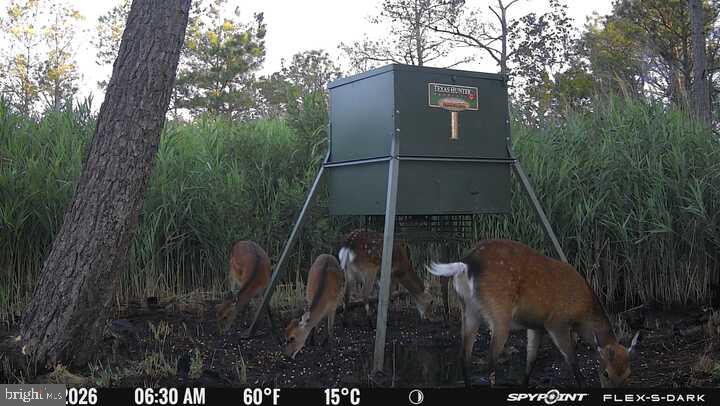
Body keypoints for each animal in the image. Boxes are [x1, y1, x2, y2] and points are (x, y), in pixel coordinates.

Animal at [426, 239, 639, 388]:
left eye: (629, 374)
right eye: (606, 373)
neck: (582, 312)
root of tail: (466, 263)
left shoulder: (536, 325)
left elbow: (531, 359)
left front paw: (524, 385)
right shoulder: (556, 322)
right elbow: (572, 359)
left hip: (469, 309)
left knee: (464, 356)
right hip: (498, 311)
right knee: (490, 359)